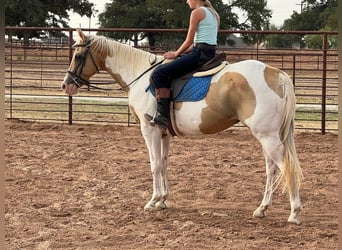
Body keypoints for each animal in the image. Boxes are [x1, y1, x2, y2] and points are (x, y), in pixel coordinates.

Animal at [62, 29, 304, 225]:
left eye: (78, 56)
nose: (66, 84)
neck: (141, 77)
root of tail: (275, 73)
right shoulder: (163, 133)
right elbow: (164, 164)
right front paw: (163, 200)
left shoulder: (149, 130)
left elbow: (154, 165)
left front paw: (152, 201)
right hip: (268, 136)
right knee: (271, 169)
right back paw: (262, 208)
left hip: (268, 137)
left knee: (285, 166)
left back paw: (294, 212)